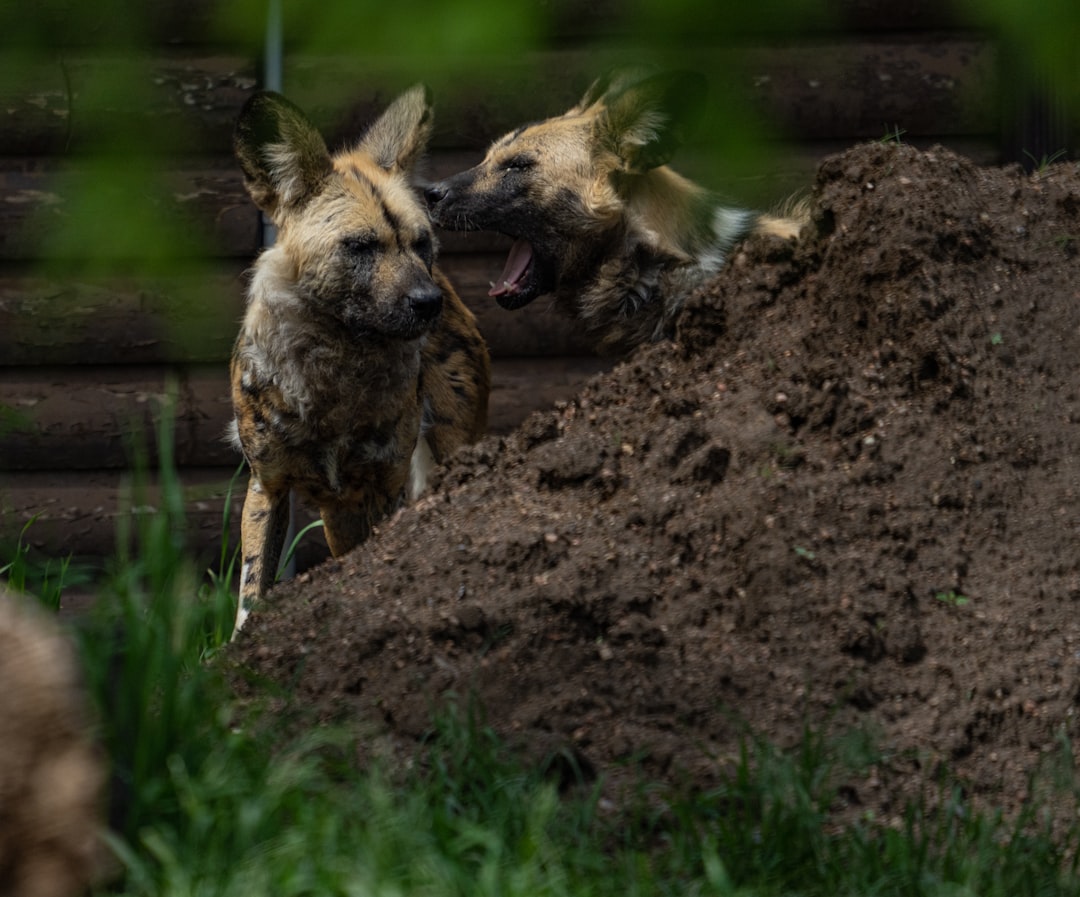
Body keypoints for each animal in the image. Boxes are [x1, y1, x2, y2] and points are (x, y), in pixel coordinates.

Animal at [232, 82, 494, 630]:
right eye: (360, 246)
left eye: (422, 243)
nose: (428, 302)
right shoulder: (266, 488)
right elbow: (249, 598)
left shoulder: (385, 485)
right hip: (338, 514)